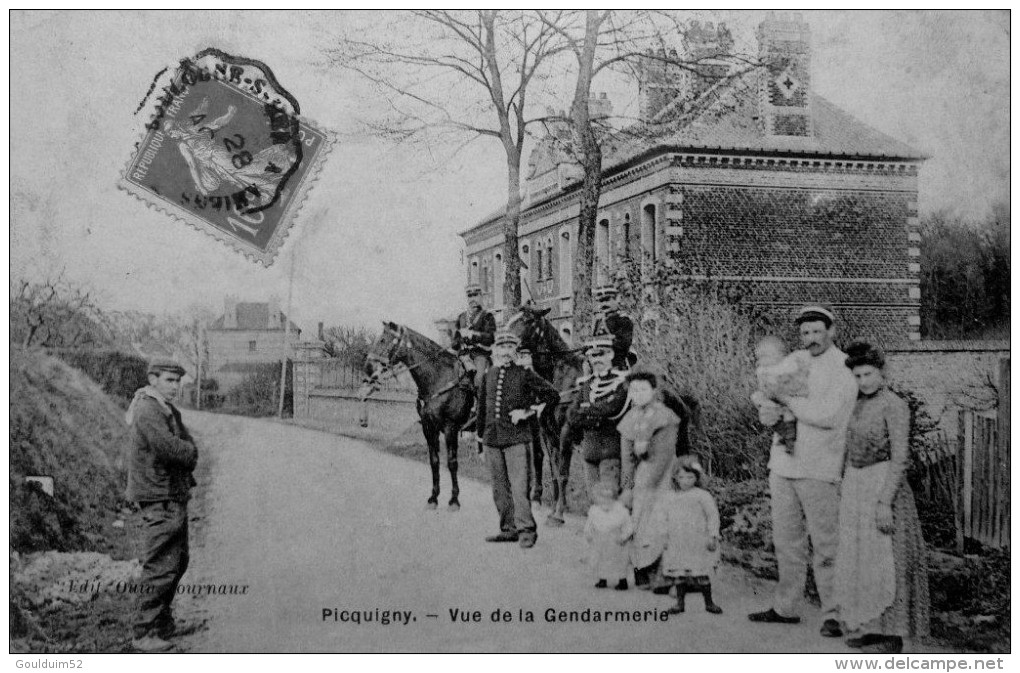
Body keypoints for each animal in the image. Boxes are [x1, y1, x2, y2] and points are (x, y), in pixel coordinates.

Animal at [365, 320, 471, 509]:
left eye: (383, 340)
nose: (368, 367)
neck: (439, 379)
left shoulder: (450, 428)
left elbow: (452, 463)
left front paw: (454, 500)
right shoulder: (429, 428)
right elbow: (434, 461)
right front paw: (434, 497)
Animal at [503, 303, 697, 526]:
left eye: (527, 320)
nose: (502, 336)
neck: (560, 376)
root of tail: (673, 392)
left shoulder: (566, 432)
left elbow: (563, 473)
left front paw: (559, 513)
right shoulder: (548, 434)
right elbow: (554, 471)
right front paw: (553, 510)